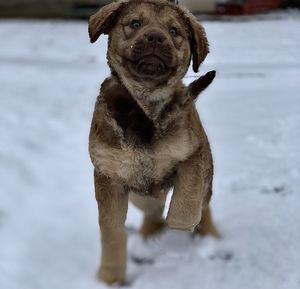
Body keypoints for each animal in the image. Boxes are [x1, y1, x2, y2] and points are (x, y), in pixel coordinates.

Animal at [88, 0, 219, 284]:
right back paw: (149, 235)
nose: (156, 37)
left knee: (203, 205)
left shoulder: (194, 153)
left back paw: (210, 234)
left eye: (174, 30)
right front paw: (110, 277)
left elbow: (187, 199)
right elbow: (111, 233)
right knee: (153, 209)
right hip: (139, 195)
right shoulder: (108, 174)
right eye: (135, 23)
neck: (145, 107)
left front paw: (182, 224)